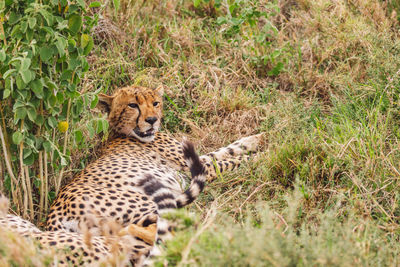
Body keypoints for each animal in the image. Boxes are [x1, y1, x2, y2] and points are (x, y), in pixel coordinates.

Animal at [45, 85, 262, 266]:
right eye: (133, 105)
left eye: (155, 103)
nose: (152, 120)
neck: (124, 133)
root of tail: (52, 219)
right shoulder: (197, 167)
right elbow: (228, 160)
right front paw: (260, 155)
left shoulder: (194, 161)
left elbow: (224, 150)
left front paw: (254, 139)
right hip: (145, 202)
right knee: (162, 230)